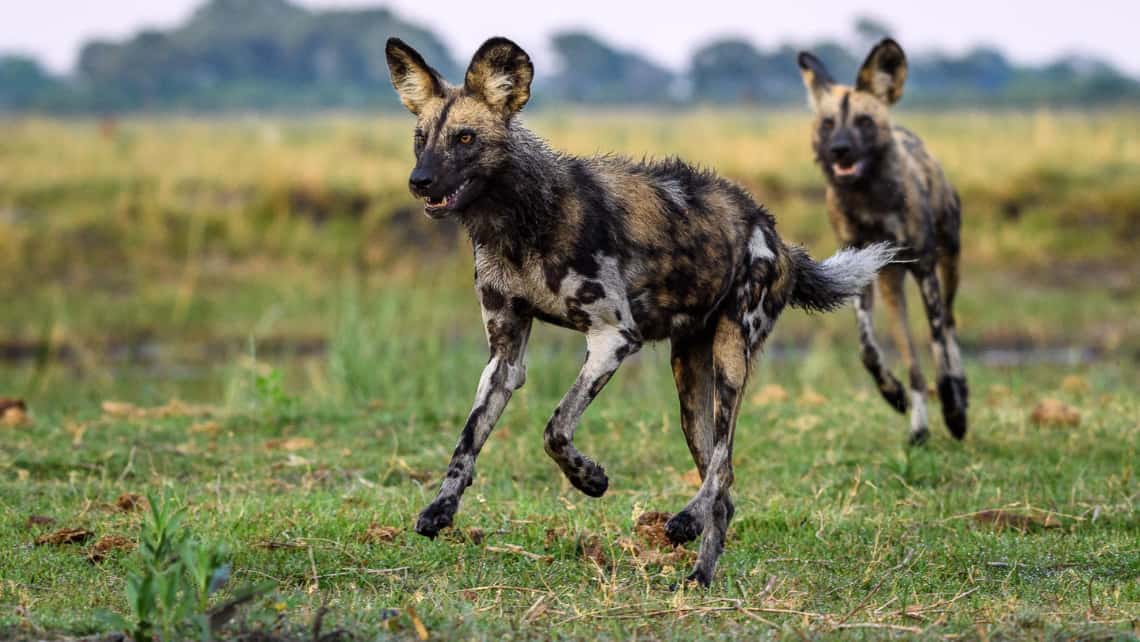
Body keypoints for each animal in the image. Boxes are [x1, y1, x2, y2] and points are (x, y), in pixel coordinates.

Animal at [392, 35, 898, 588]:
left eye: (465, 138)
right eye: (421, 138)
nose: (420, 180)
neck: (520, 220)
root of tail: (775, 233)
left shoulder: (613, 337)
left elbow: (555, 429)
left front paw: (589, 479)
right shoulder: (504, 358)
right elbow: (467, 441)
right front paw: (441, 509)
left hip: (731, 358)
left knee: (722, 464)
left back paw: (684, 524)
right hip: (688, 382)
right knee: (725, 487)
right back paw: (700, 575)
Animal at [798, 37, 966, 444]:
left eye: (864, 121)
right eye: (828, 124)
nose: (840, 149)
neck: (869, 201)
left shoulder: (926, 270)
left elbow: (938, 342)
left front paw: (953, 407)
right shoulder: (860, 273)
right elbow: (868, 351)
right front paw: (892, 393)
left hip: (948, 264)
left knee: (949, 324)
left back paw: (958, 396)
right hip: (892, 288)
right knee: (913, 362)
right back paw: (918, 426)